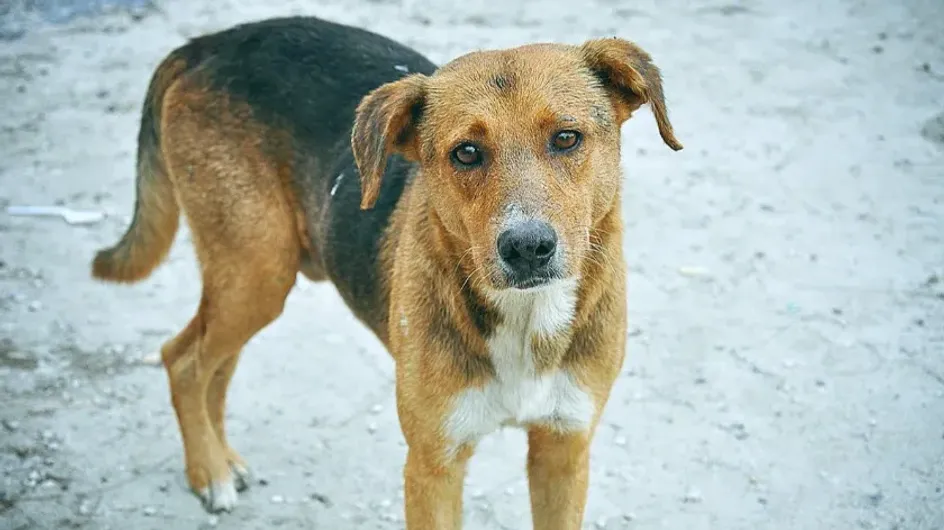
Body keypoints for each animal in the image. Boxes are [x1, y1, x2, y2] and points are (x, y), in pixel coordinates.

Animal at [92, 14, 684, 524]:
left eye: (566, 138)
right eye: (466, 152)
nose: (527, 248)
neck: (525, 317)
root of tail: (208, 44)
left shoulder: (564, 452)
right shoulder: (432, 466)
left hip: (251, 278)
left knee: (212, 361)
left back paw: (223, 460)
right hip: (255, 271)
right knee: (183, 360)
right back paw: (209, 472)